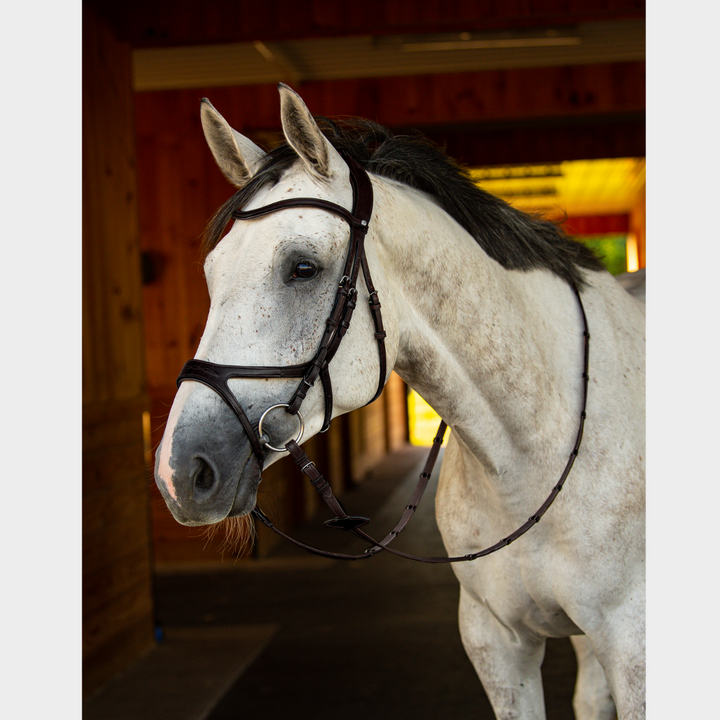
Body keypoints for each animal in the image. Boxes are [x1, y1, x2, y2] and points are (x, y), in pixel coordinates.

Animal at [153, 86, 648, 720]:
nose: (179, 473)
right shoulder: (497, 644)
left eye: (303, 268)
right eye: (212, 272)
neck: (535, 450)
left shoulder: (633, 648)